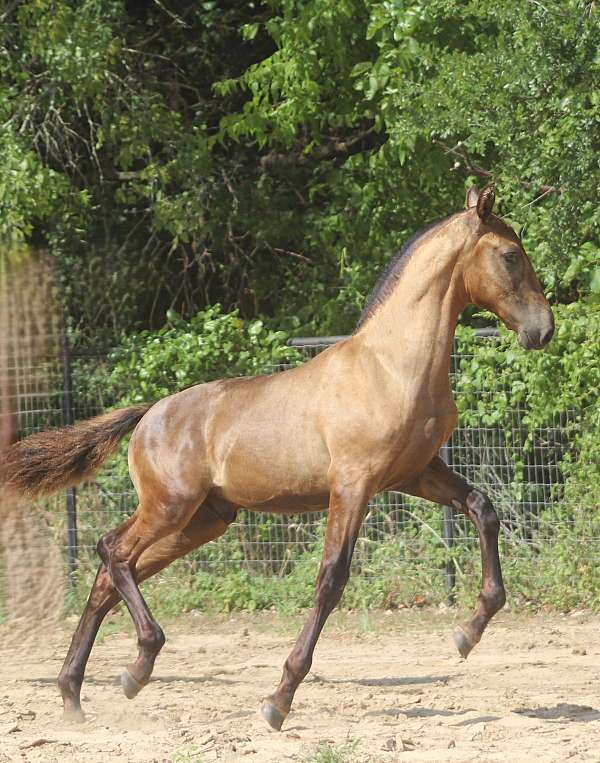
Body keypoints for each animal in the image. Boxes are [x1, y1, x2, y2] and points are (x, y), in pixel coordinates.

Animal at [0, 184, 552, 728]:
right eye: (510, 254)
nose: (542, 330)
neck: (390, 367)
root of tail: (148, 415)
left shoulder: (415, 474)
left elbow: (482, 508)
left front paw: (468, 632)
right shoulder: (352, 485)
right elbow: (331, 578)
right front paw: (278, 700)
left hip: (203, 520)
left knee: (110, 575)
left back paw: (78, 694)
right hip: (169, 507)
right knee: (112, 552)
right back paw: (137, 663)